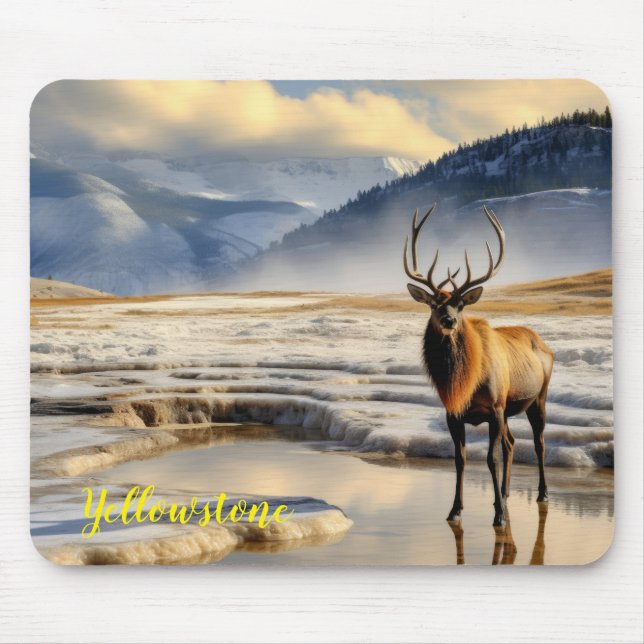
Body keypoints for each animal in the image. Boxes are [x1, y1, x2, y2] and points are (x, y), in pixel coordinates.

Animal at [403, 203, 554, 526]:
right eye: (434, 304)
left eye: (460, 305)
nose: (449, 320)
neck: (466, 384)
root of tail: (543, 343)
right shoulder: (453, 413)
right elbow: (460, 459)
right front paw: (455, 510)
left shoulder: (494, 408)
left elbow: (490, 457)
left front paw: (497, 517)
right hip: (510, 409)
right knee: (512, 443)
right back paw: (506, 495)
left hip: (538, 397)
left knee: (538, 442)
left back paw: (541, 493)